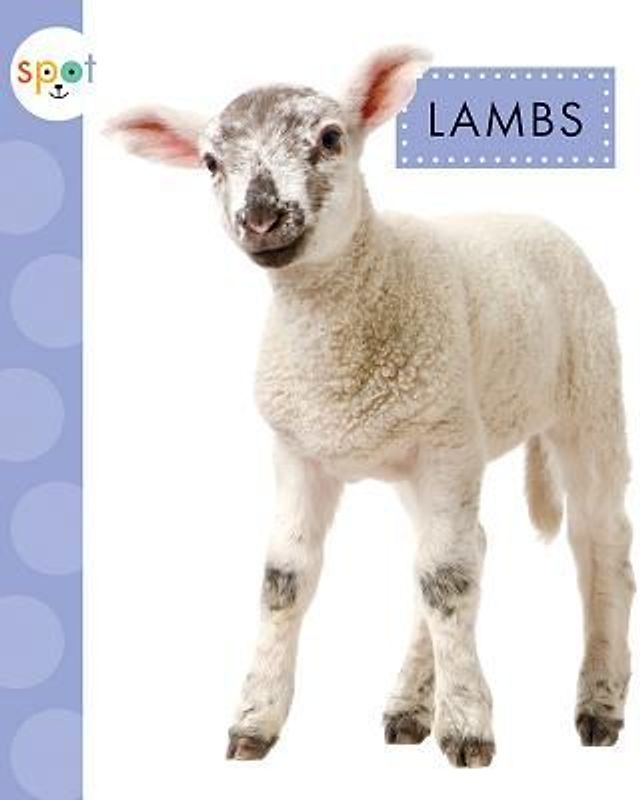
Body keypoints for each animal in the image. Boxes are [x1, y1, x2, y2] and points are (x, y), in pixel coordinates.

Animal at [107, 45, 634, 768]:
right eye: (211, 163)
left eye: (331, 138)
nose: (261, 218)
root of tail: (533, 218)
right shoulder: (300, 451)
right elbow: (286, 580)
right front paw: (254, 721)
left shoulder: (447, 441)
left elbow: (447, 581)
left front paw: (467, 727)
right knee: (467, 547)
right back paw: (410, 703)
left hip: (589, 399)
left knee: (600, 542)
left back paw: (599, 704)